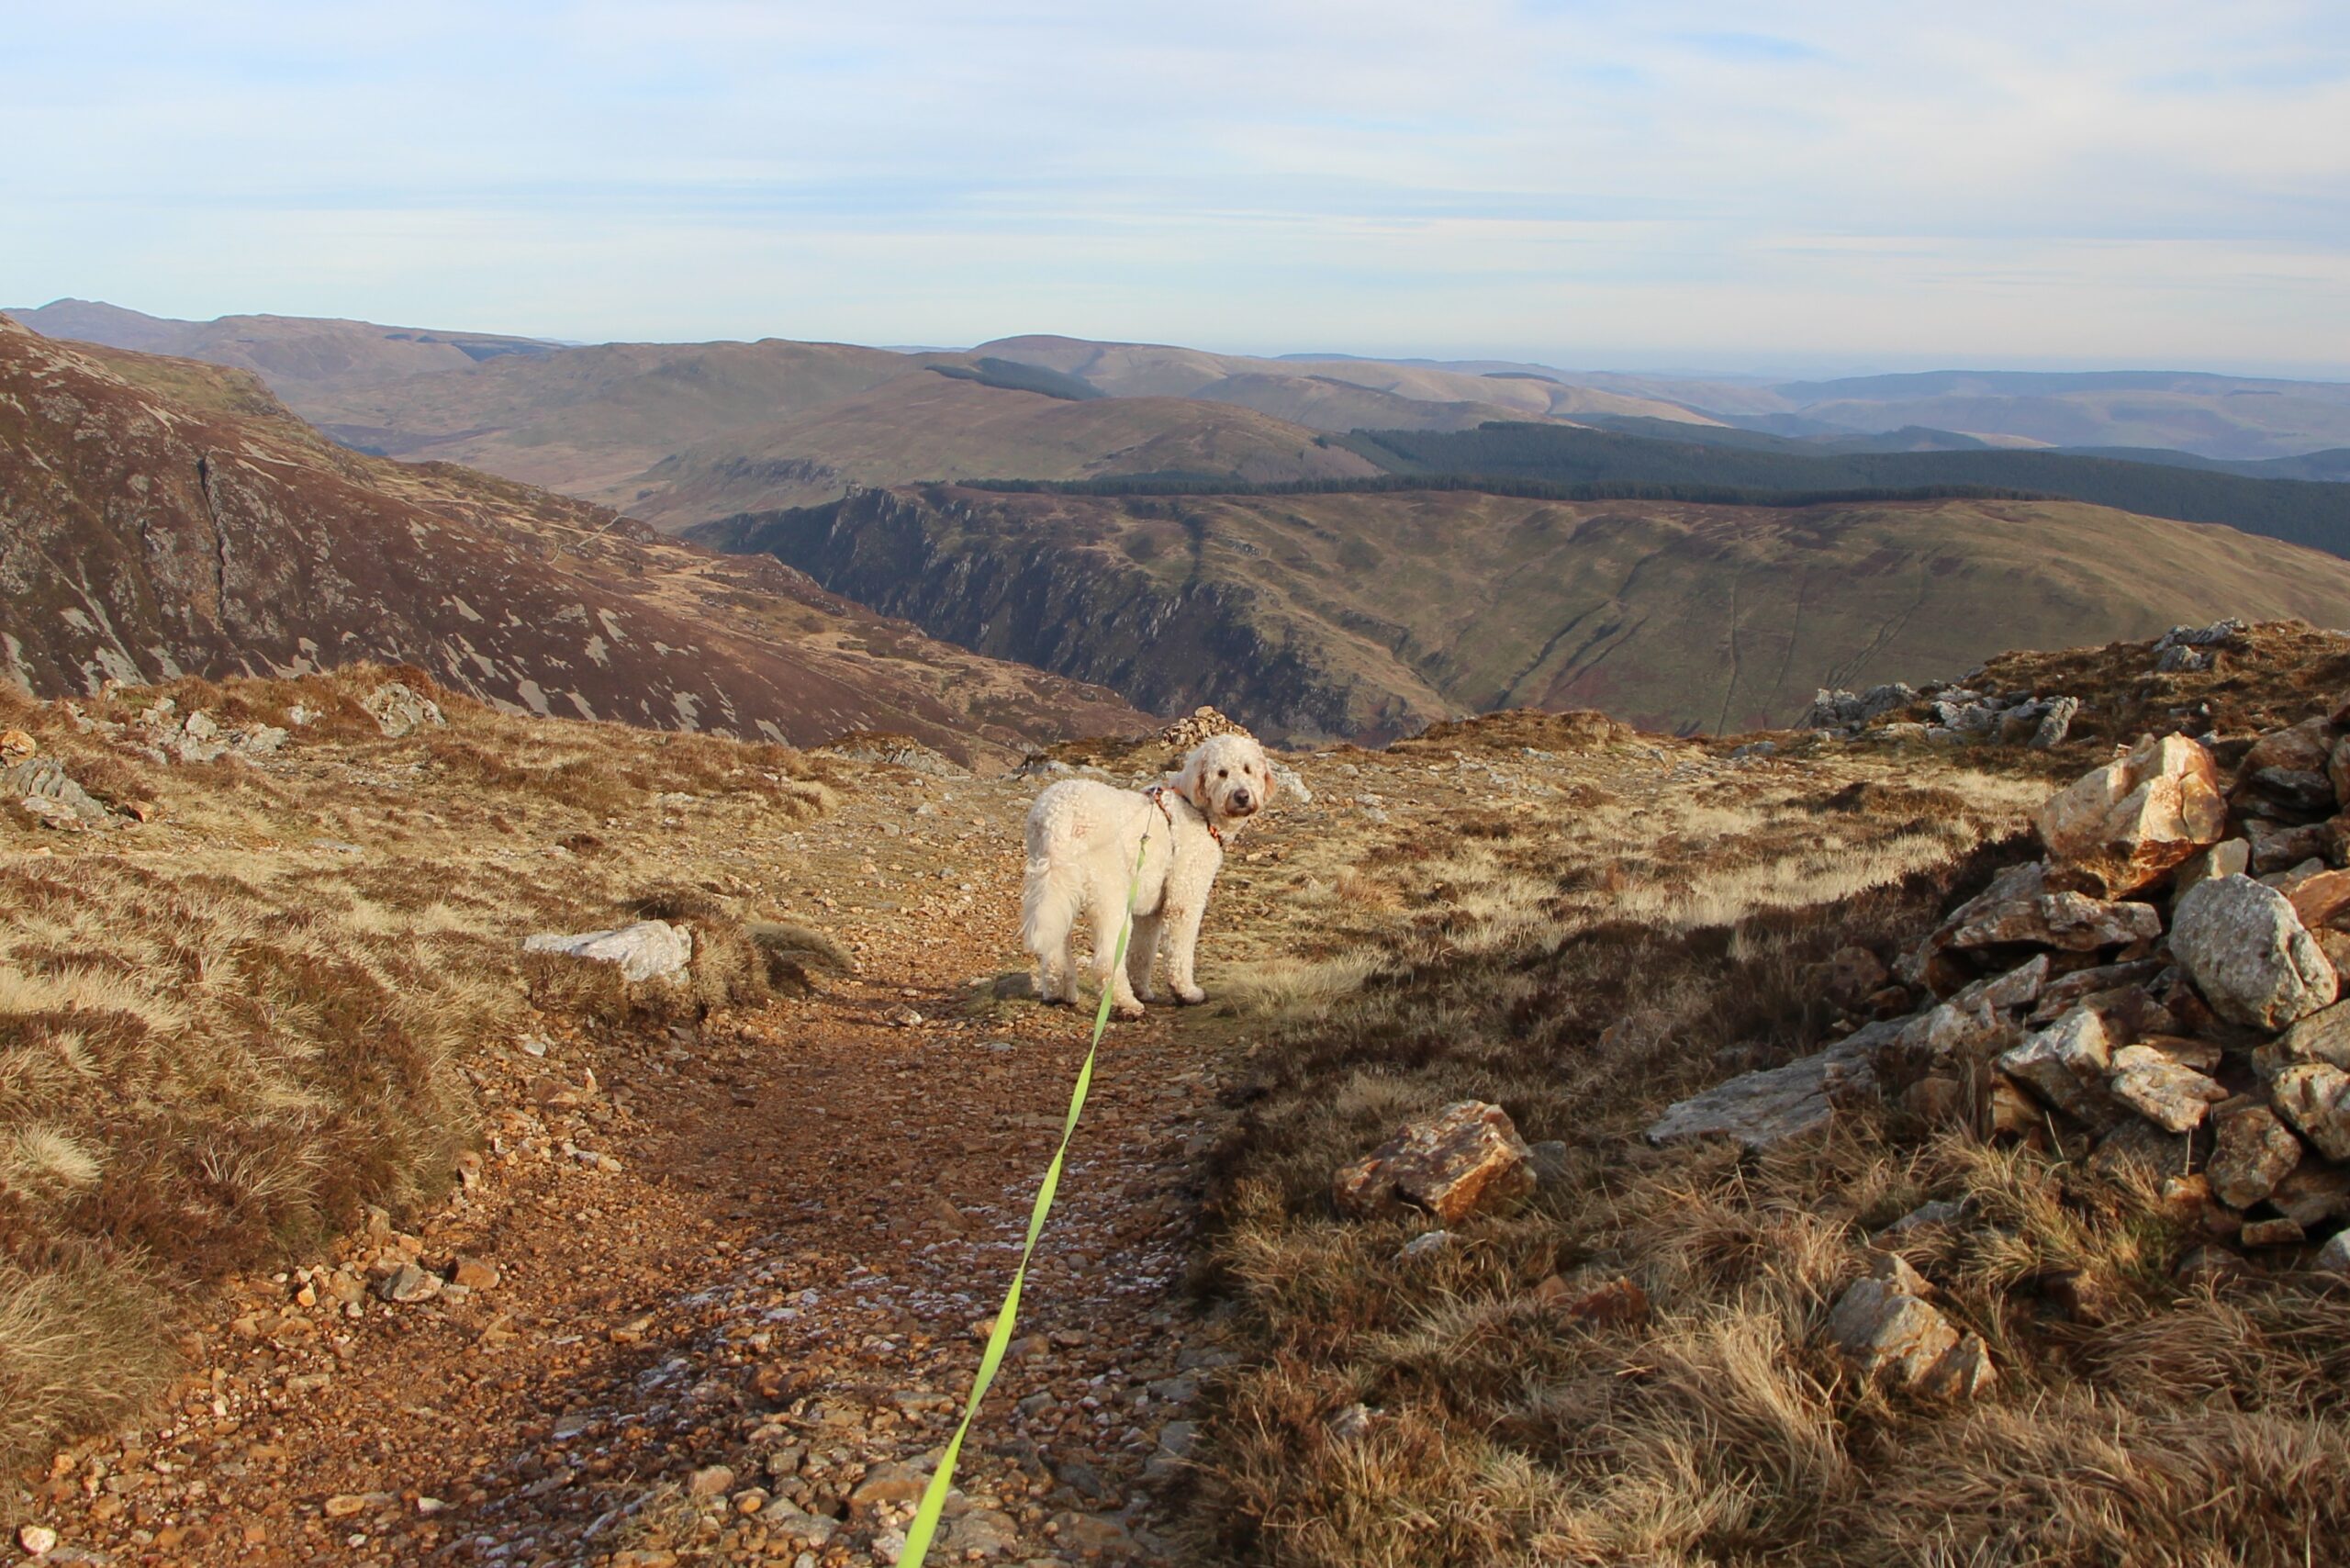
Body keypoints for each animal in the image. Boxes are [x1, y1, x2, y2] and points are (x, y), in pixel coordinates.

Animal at [1020, 738, 1278, 1020]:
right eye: (1222, 773)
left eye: (1248, 769)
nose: (1241, 796)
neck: (1195, 807)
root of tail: (1057, 816)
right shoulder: (1184, 898)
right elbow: (1178, 951)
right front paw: (1186, 993)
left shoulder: (1150, 909)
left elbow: (1142, 952)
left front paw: (1142, 989)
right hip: (1109, 894)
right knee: (1106, 961)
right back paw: (1126, 1004)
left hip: (1058, 891)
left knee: (1054, 951)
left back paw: (1060, 993)